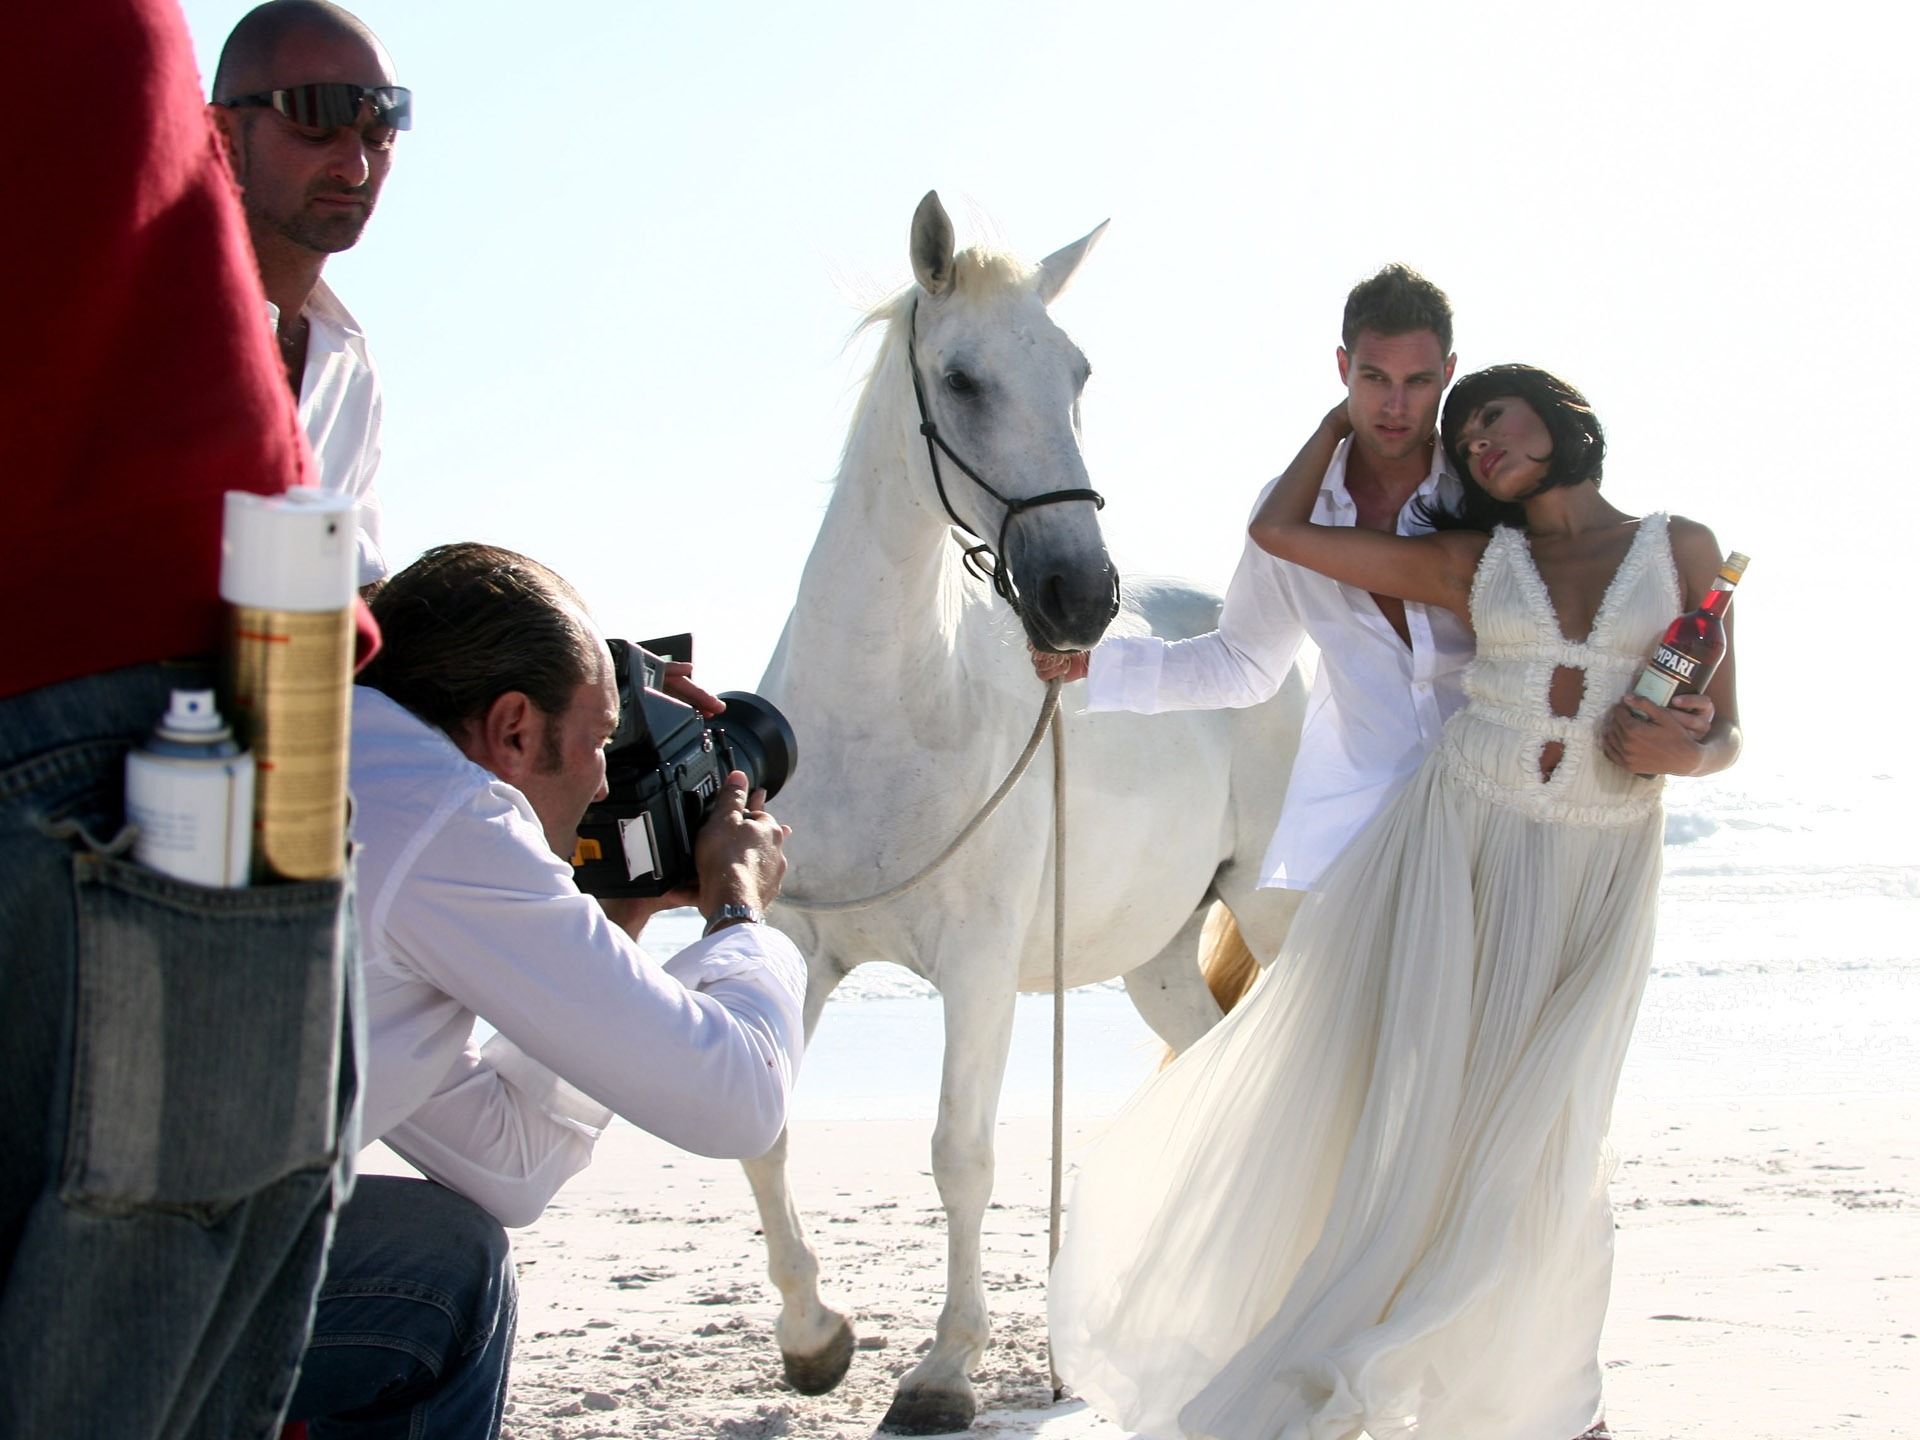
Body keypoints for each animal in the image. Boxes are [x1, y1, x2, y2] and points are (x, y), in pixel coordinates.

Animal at [744, 189, 1305, 1436]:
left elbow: (961, 1152)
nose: (1078, 596)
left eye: (1077, 371)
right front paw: (814, 1339)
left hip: (1277, 909)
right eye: (960, 379)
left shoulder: (979, 966)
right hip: (1155, 957)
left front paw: (945, 1371)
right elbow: (764, 1122)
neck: (891, 710)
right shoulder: (796, 944)